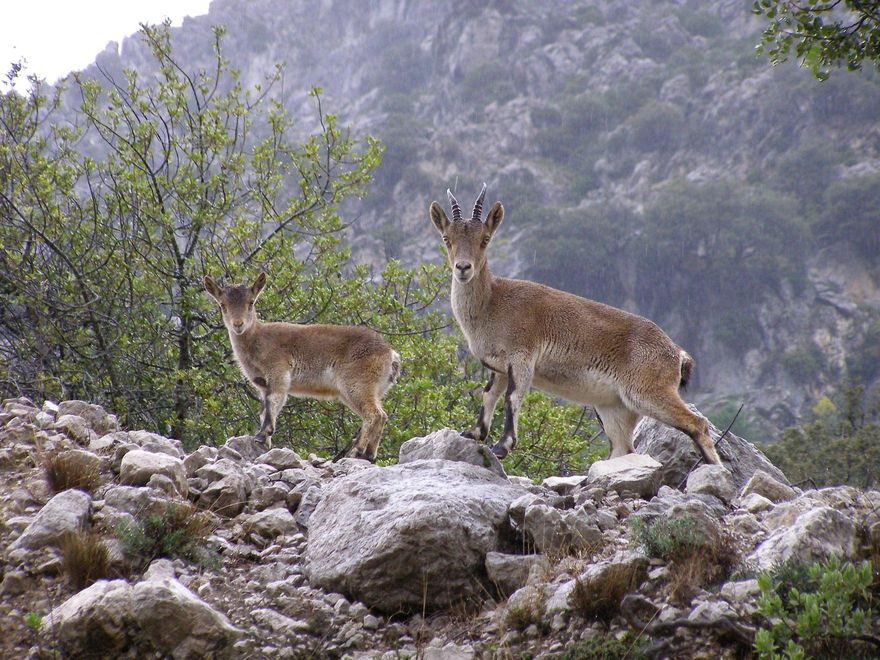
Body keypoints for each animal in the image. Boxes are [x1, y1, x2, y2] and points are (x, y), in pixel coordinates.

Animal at [203, 272, 401, 461]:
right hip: (363, 391)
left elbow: (274, 401)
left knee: (373, 414)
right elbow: (264, 409)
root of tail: (391, 354)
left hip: (357, 384)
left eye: (251, 302)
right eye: (222, 305)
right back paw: (369, 454)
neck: (258, 340)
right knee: (382, 415)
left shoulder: (278, 371)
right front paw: (266, 442)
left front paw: (261, 436)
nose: (238, 325)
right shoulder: (263, 384)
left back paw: (357, 451)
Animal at [429, 185, 721, 465]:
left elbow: (512, 398)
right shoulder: (498, 367)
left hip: (648, 390)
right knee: (623, 448)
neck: (492, 304)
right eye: (447, 239)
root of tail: (676, 353)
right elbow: (489, 395)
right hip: (615, 408)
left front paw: (502, 447)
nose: (463, 268)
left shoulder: (522, 356)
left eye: (485, 240)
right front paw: (473, 433)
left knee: (697, 424)